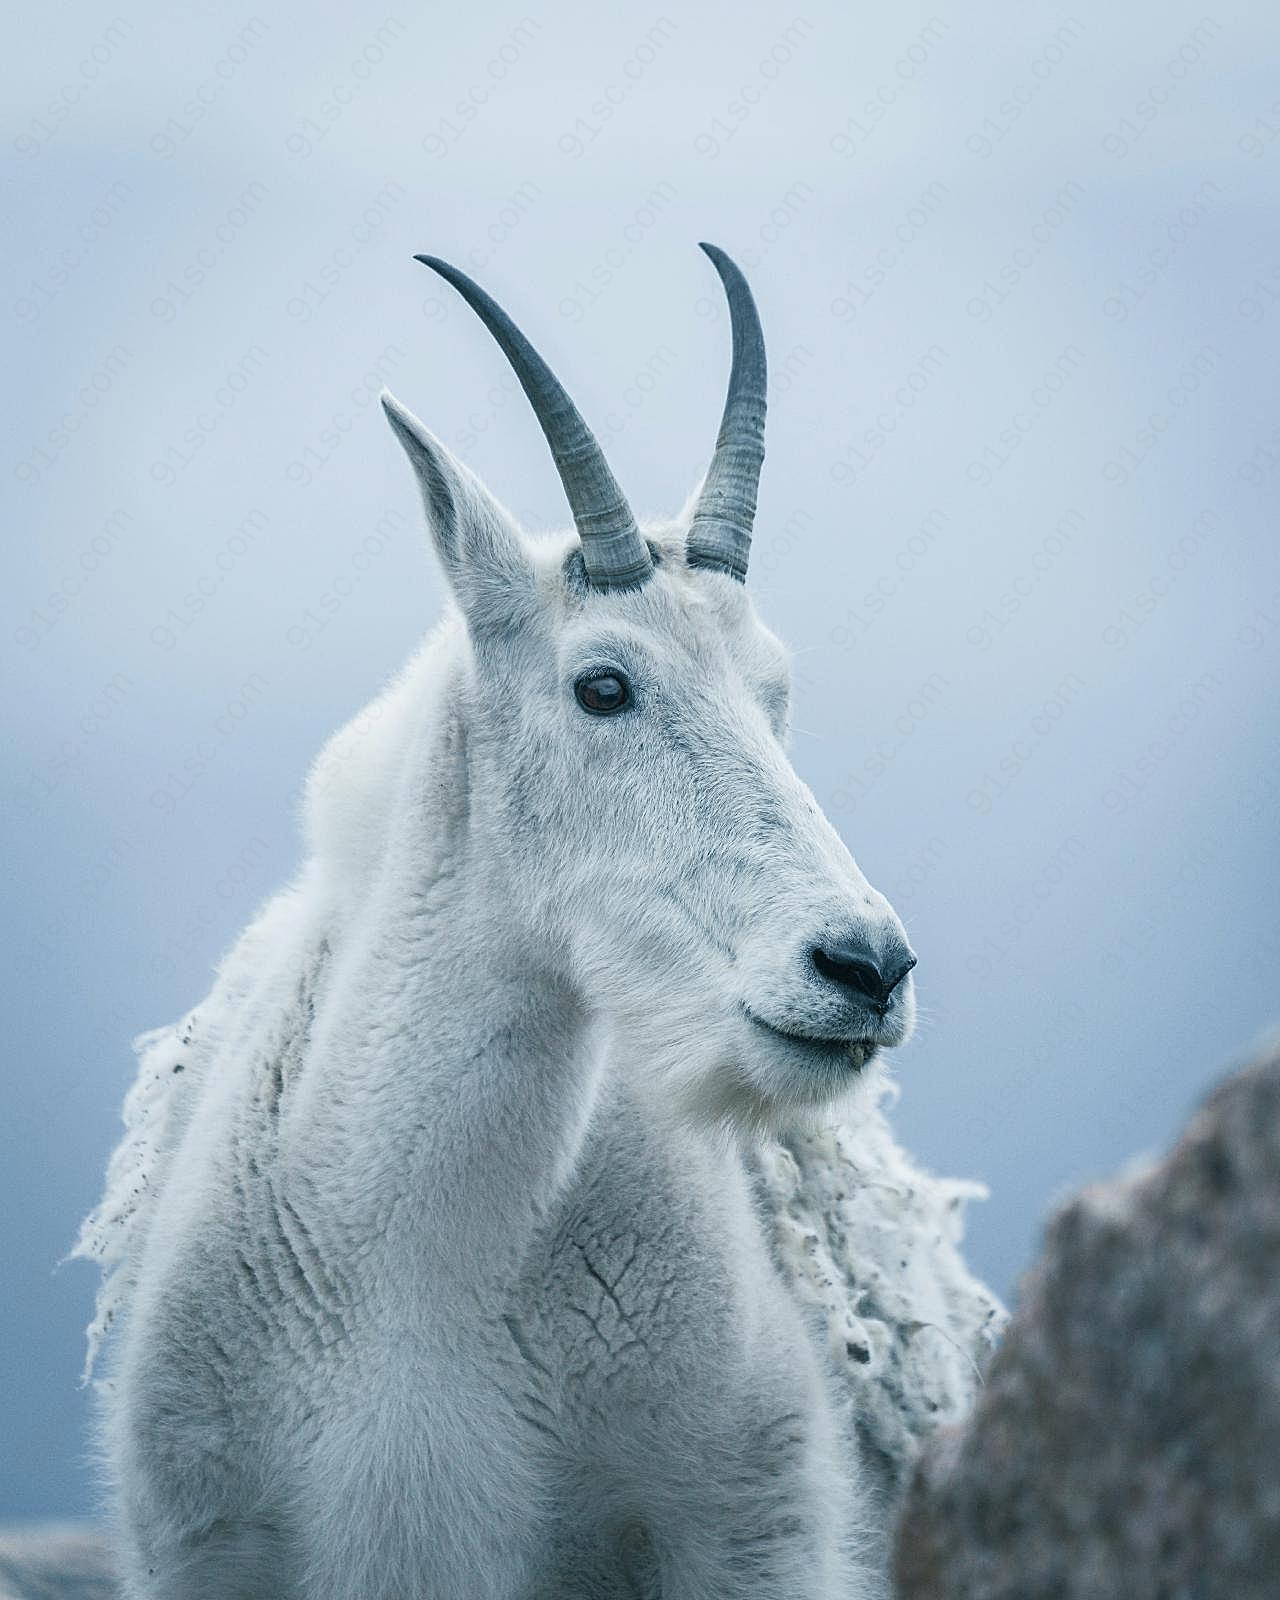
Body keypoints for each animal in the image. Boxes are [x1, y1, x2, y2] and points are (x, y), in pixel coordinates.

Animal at [75, 240, 1004, 1600]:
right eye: (601, 684)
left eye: (775, 691)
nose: (863, 965)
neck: (419, 1262)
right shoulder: (212, 1545)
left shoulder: (754, 1533)